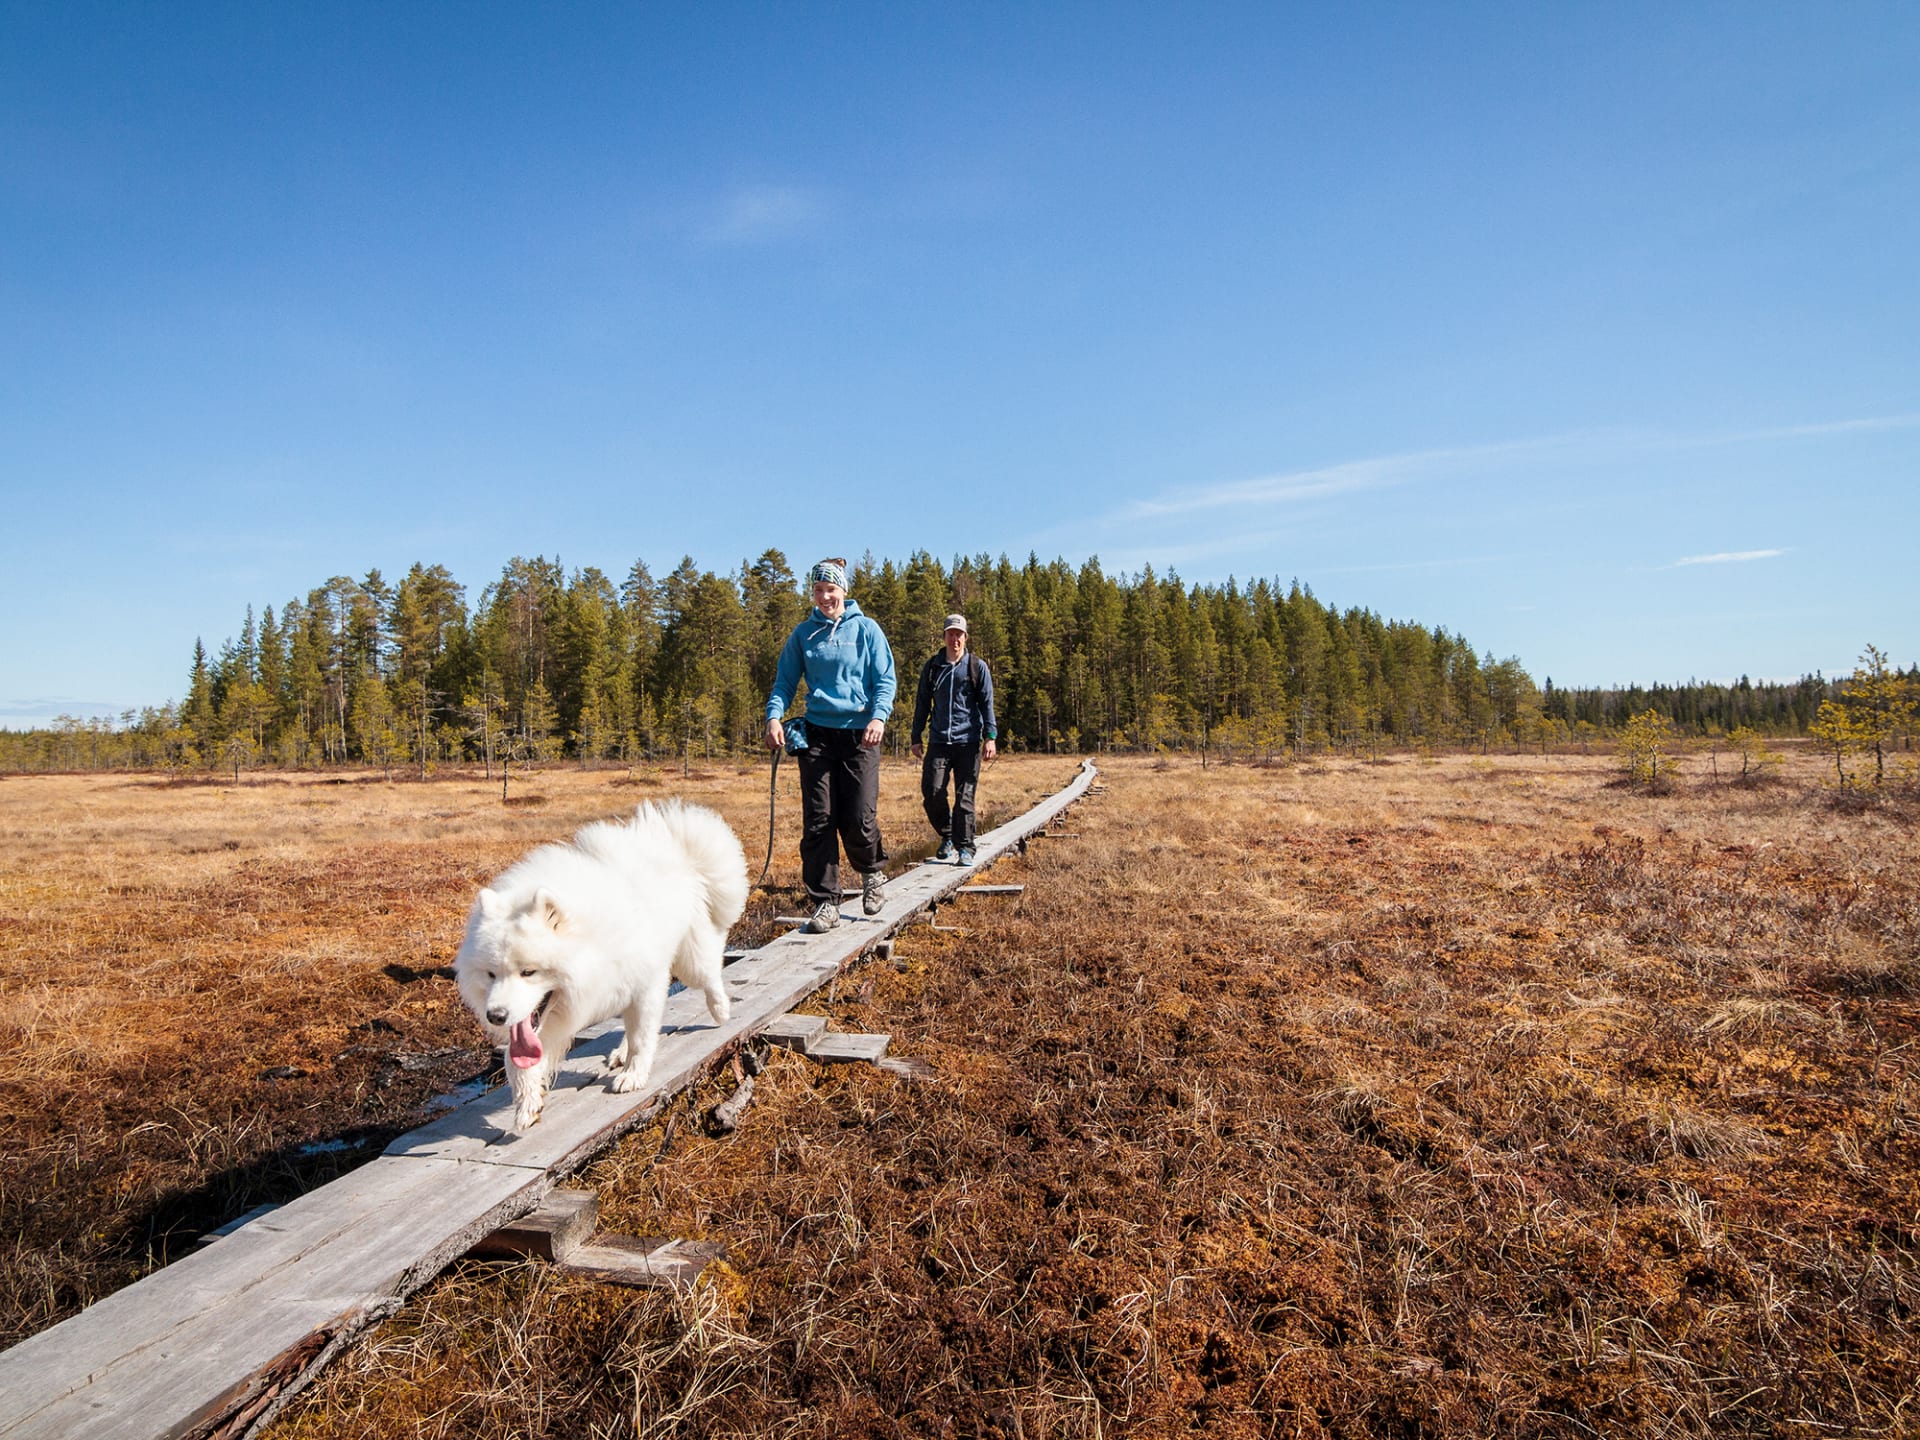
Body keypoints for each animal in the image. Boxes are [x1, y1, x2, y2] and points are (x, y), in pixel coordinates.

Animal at [453, 802, 744, 1128]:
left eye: (528, 972)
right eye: (491, 974)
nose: (496, 1016)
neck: (591, 943)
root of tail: (671, 840)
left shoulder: (646, 985)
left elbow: (642, 1037)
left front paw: (633, 1075)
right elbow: (515, 1060)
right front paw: (527, 1102)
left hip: (690, 960)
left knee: (709, 974)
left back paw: (720, 1009)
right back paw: (620, 1052)